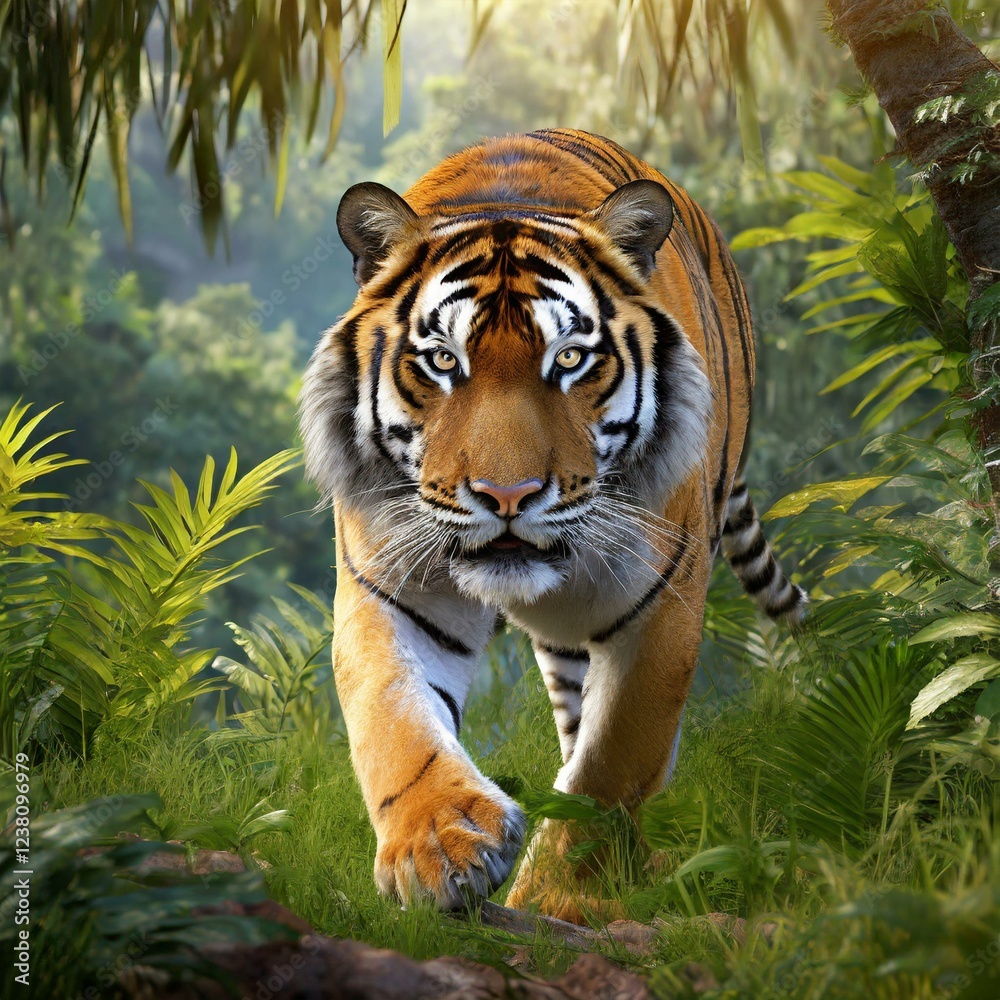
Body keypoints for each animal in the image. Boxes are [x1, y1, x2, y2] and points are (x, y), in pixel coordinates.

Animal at [299, 127, 806, 922]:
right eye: (441, 360)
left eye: (569, 358)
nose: (507, 496)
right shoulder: (391, 588)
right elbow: (395, 720)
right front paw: (440, 847)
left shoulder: (662, 604)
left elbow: (613, 763)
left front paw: (559, 897)